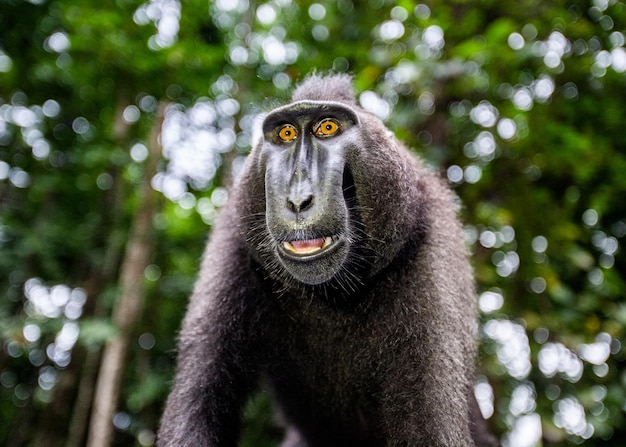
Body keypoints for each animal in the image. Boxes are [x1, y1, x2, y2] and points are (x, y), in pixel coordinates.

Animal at [157, 74, 498, 447]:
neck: (330, 298)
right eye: (286, 133)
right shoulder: (234, 240)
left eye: (328, 128)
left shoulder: (434, 254)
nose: (298, 200)